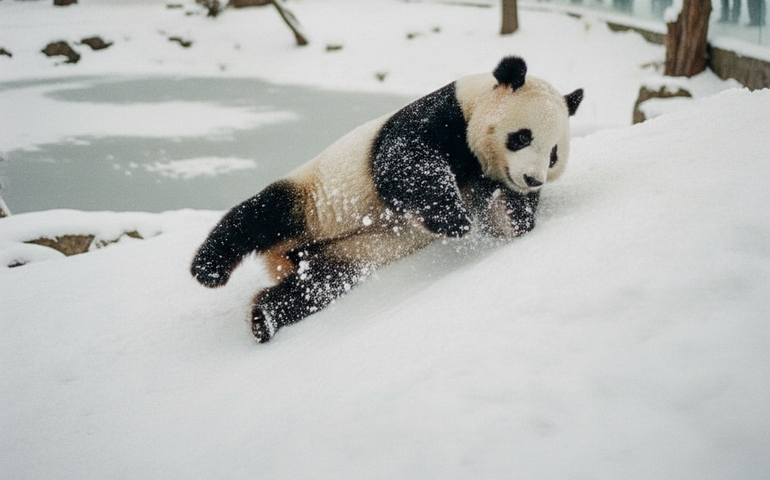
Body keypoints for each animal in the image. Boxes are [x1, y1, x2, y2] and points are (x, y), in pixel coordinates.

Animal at [191, 56, 583, 343]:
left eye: (553, 154)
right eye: (522, 137)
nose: (532, 179)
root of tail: (285, 257)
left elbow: (503, 219)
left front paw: (516, 213)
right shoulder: (444, 114)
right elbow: (403, 163)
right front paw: (453, 219)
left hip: (346, 257)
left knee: (313, 288)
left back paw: (264, 318)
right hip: (312, 194)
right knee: (258, 216)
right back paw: (209, 269)